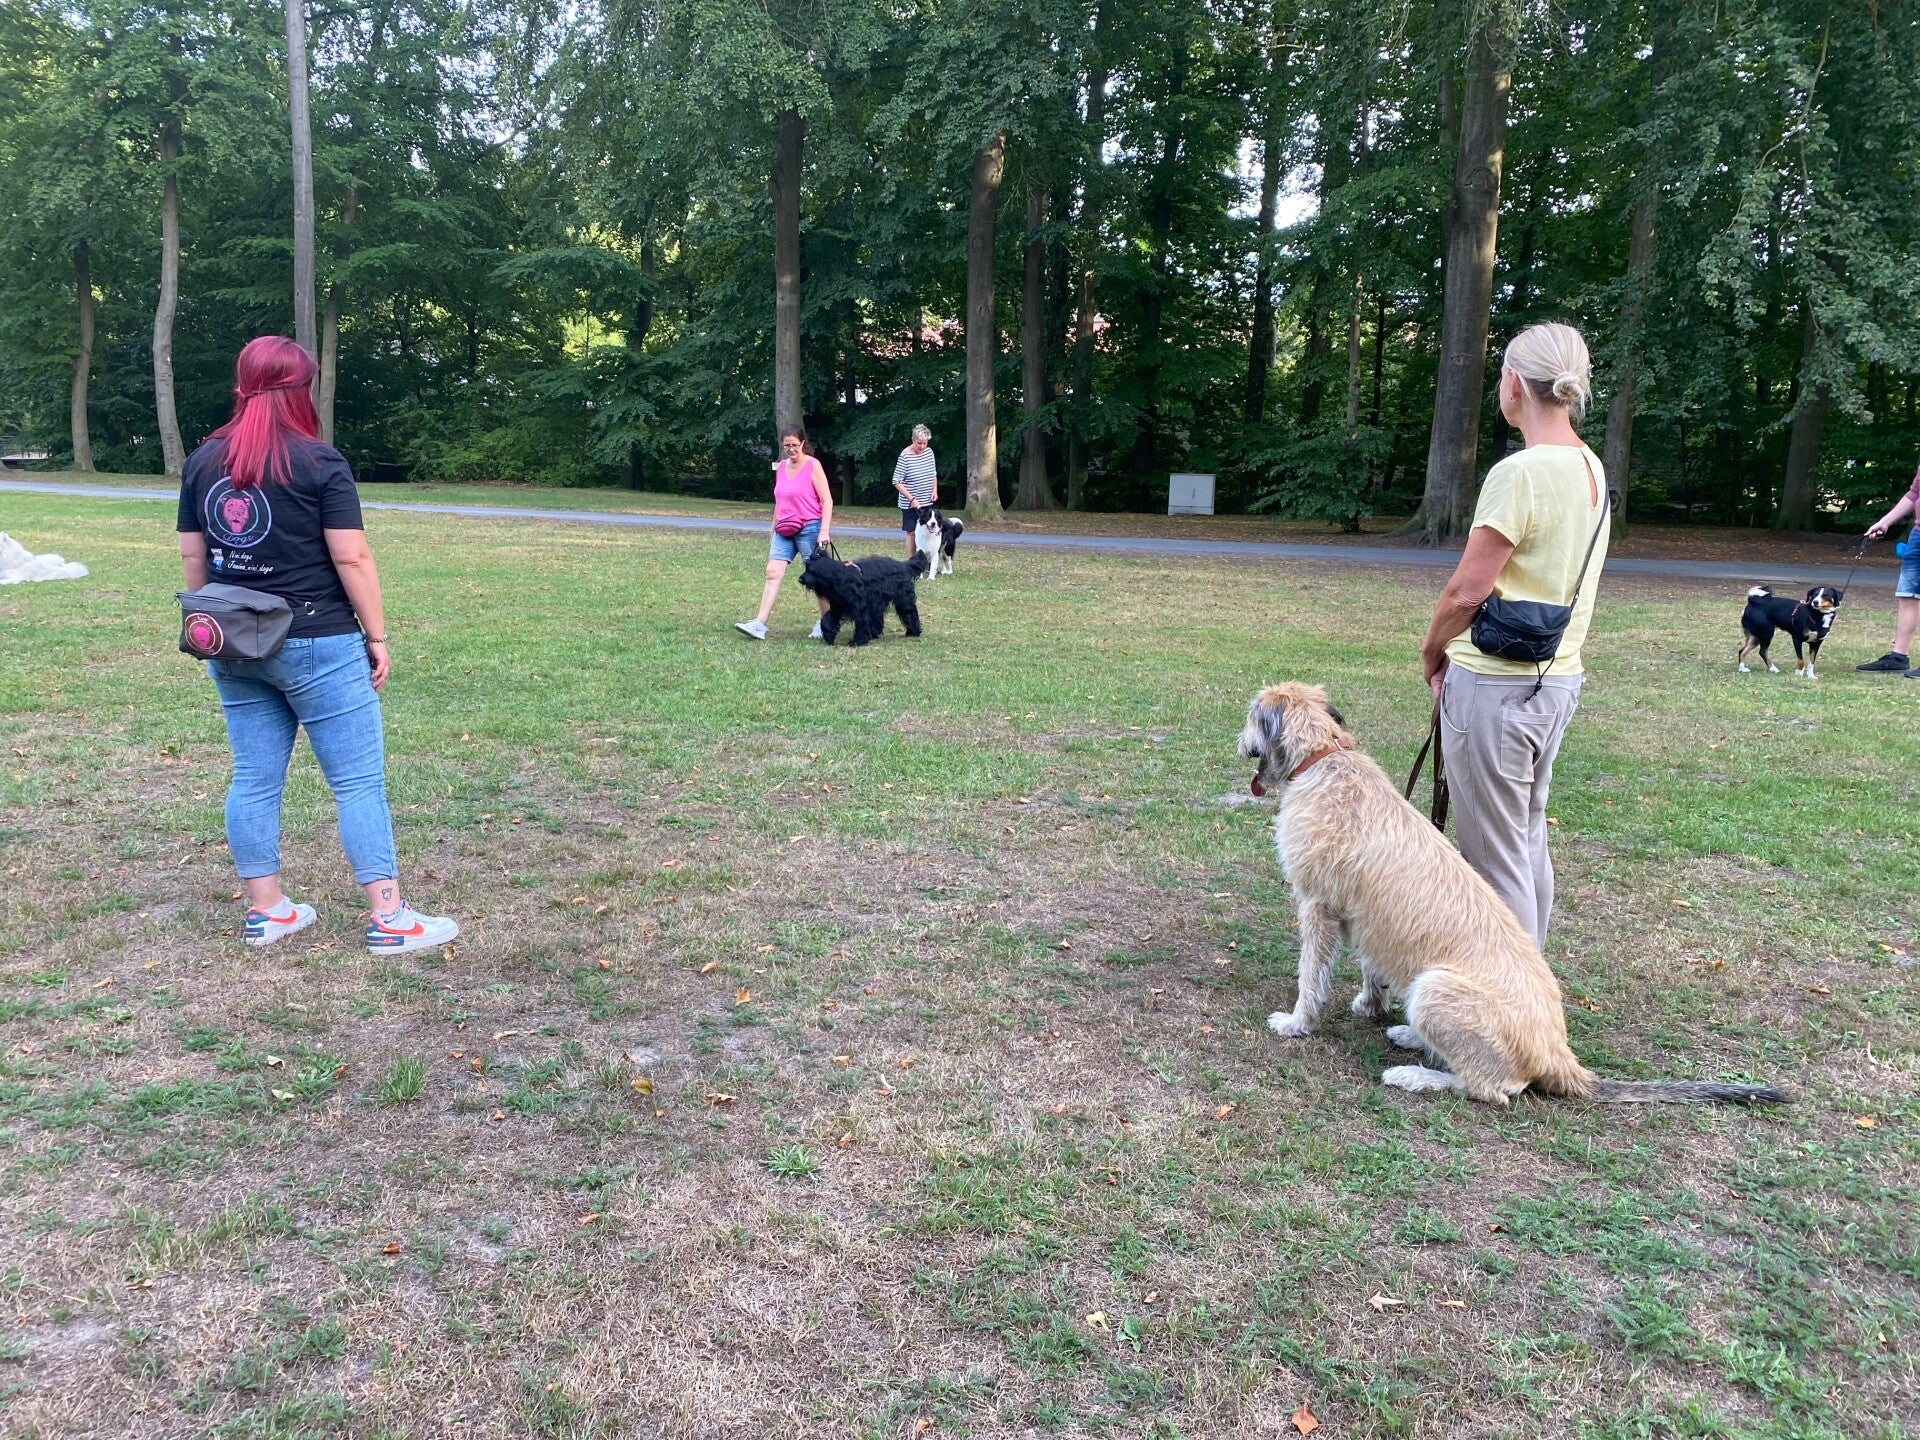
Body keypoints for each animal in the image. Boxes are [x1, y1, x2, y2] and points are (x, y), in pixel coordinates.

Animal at [798, 549, 928, 646]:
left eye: (811, 570)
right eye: (806, 567)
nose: (800, 579)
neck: (839, 577)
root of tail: (903, 565)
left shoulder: (859, 607)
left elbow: (861, 623)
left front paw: (858, 641)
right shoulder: (839, 606)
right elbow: (827, 618)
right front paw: (829, 634)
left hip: (903, 599)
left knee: (909, 612)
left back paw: (913, 631)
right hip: (877, 601)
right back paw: (874, 633)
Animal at [1236, 682, 1788, 1107]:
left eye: (1250, 717)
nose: (1238, 741)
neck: (1324, 758)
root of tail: (1558, 1055)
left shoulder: (1317, 906)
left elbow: (1311, 975)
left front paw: (1297, 1022)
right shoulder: (1361, 916)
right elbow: (1372, 968)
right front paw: (1372, 1006)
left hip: (1438, 989)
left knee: (1492, 1090)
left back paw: (1417, 1075)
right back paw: (1411, 1034)